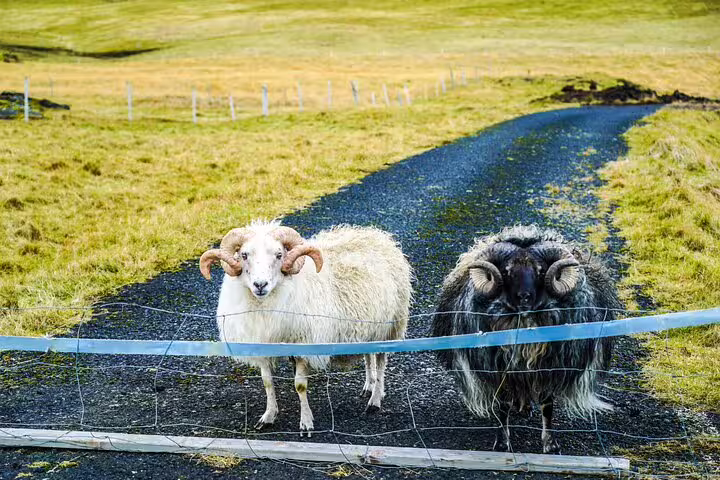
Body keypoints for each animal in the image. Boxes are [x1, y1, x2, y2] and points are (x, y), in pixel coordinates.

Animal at [199, 220, 412, 436]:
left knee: (381, 360)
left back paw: (375, 400)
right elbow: (267, 382)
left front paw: (306, 422)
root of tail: (376, 234)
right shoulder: (263, 344)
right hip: (369, 326)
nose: (260, 284)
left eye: (279, 255)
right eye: (244, 255)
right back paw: (369, 385)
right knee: (369, 355)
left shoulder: (304, 344)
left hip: (391, 325)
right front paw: (268, 416)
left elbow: (300, 385)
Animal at [431, 225, 620, 453]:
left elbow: (547, 406)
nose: (524, 297)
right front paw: (502, 442)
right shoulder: (500, 369)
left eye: (540, 271)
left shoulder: (549, 368)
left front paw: (550, 445)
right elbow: (503, 405)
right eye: (506, 271)